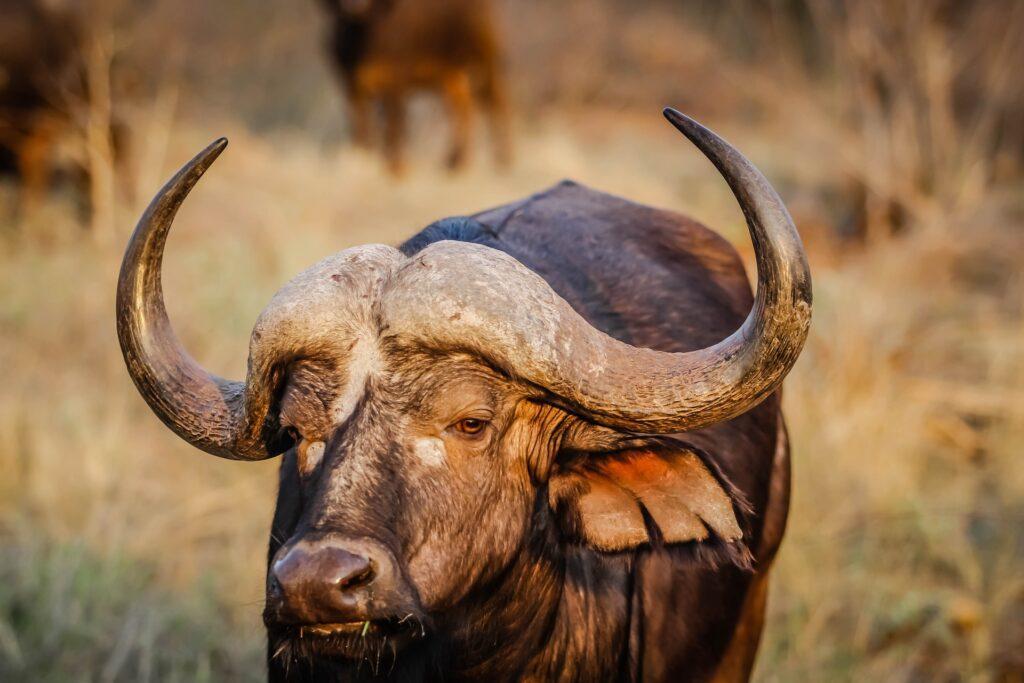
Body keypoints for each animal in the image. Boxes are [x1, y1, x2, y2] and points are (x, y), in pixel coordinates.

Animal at [317, 0, 509, 174]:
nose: (355, 5)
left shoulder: (395, 82)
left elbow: (394, 126)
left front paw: (398, 170)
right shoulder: (351, 87)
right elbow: (361, 128)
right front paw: (364, 159)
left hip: (484, 61)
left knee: (496, 102)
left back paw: (502, 161)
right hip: (451, 76)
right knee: (463, 108)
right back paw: (454, 162)